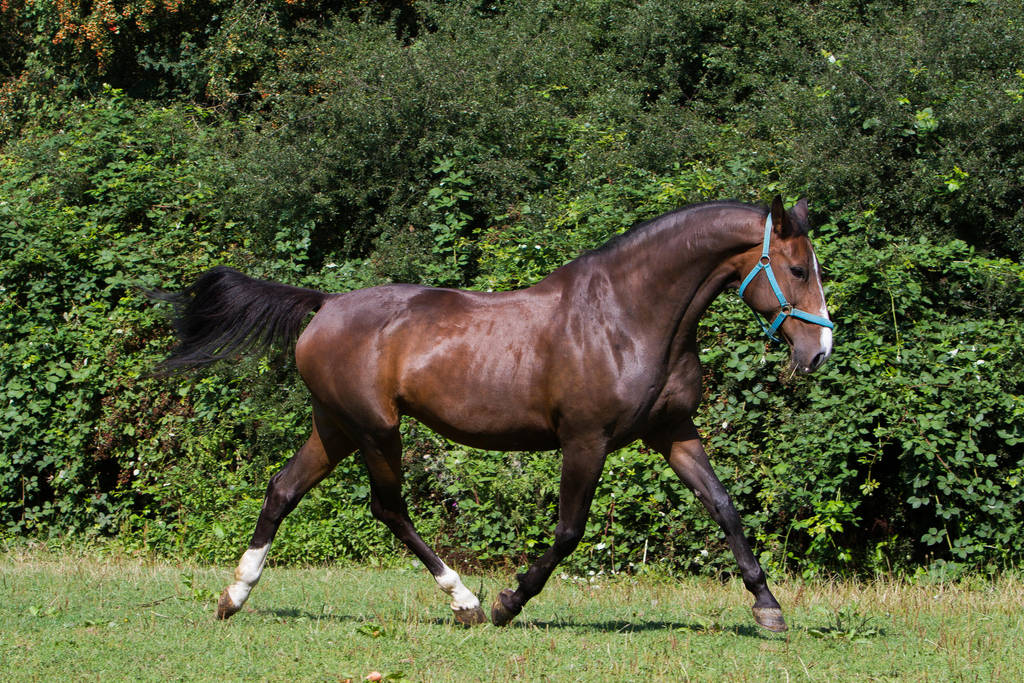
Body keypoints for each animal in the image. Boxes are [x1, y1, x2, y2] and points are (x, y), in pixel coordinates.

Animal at [153, 196, 833, 632]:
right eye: (798, 268)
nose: (818, 351)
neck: (627, 315)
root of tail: (324, 305)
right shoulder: (585, 440)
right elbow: (569, 531)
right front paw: (510, 602)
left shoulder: (673, 432)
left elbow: (723, 506)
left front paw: (768, 607)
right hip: (376, 430)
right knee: (388, 508)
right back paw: (466, 602)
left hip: (337, 428)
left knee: (283, 490)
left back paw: (234, 596)